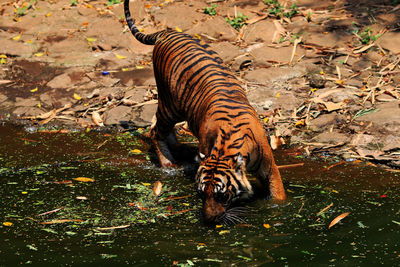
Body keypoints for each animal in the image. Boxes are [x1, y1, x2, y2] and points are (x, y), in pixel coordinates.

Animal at [124, 0, 284, 225]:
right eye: (201, 194)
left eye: (222, 195)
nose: (208, 220)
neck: (227, 146)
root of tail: (168, 32)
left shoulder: (269, 167)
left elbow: (278, 194)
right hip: (170, 104)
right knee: (155, 130)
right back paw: (168, 163)